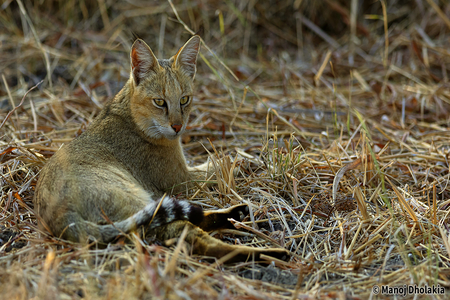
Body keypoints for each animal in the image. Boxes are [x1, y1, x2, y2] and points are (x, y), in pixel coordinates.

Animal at [33, 35, 290, 262]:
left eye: (185, 99)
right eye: (159, 102)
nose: (177, 126)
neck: (130, 115)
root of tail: (61, 218)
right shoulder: (181, 179)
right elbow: (215, 168)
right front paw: (246, 160)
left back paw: (238, 215)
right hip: (138, 201)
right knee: (193, 236)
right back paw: (270, 253)